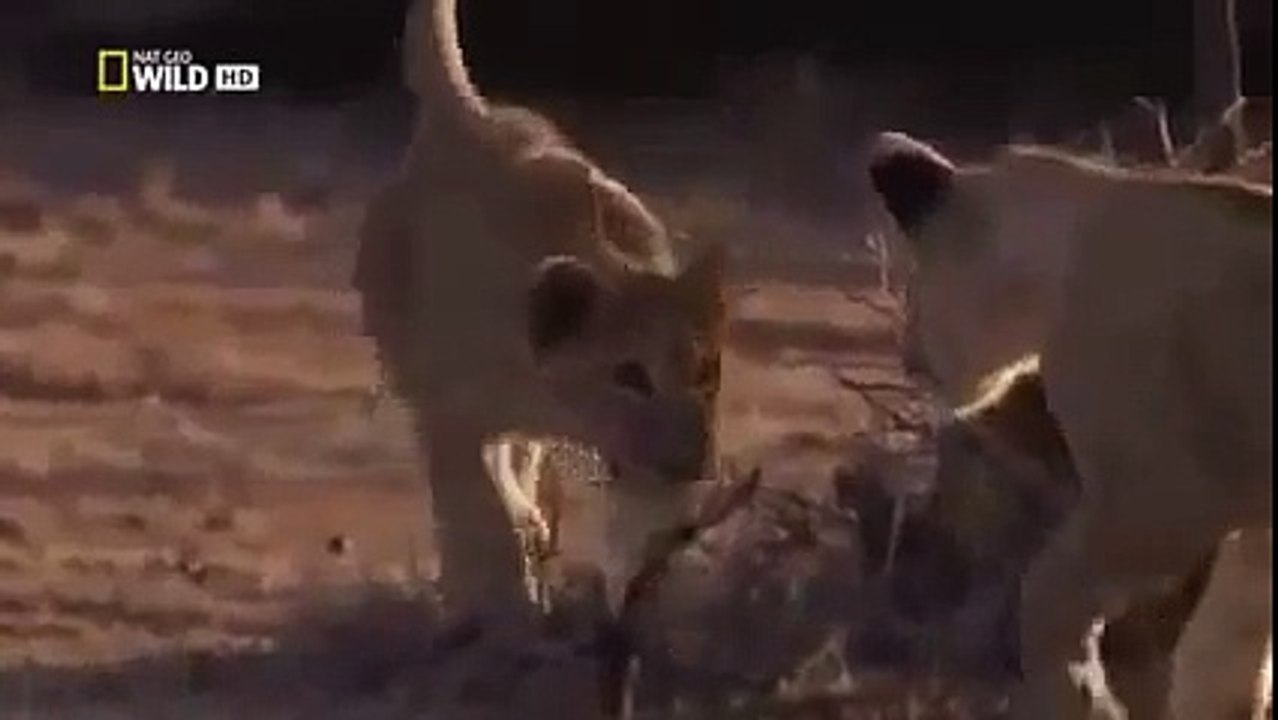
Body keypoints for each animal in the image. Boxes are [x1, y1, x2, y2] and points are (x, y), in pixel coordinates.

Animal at [353, 0, 725, 635]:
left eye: (704, 372)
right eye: (630, 375)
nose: (692, 461)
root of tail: (468, 112)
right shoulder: (450, 413)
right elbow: (480, 510)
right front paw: (503, 609)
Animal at [868, 132, 1271, 719]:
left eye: (911, 279)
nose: (909, 355)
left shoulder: (1153, 507)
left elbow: (1044, 596)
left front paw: (1085, 697)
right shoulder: (1251, 527)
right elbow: (1224, 654)